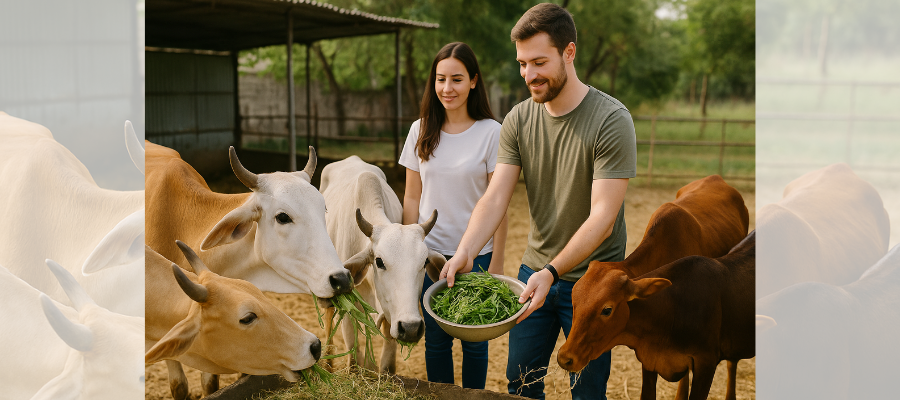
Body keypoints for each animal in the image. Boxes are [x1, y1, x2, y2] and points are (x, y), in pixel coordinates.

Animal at [320, 156, 446, 374]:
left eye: (424, 262)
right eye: (379, 261)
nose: (411, 327)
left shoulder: (389, 315)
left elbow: (387, 363)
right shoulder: (347, 305)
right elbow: (354, 358)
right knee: (328, 319)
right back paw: (327, 363)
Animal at [556, 175, 749, 400]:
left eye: (607, 310)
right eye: (573, 302)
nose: (565, 358)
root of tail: (715, 177)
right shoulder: (649, 355)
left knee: (732, 362)